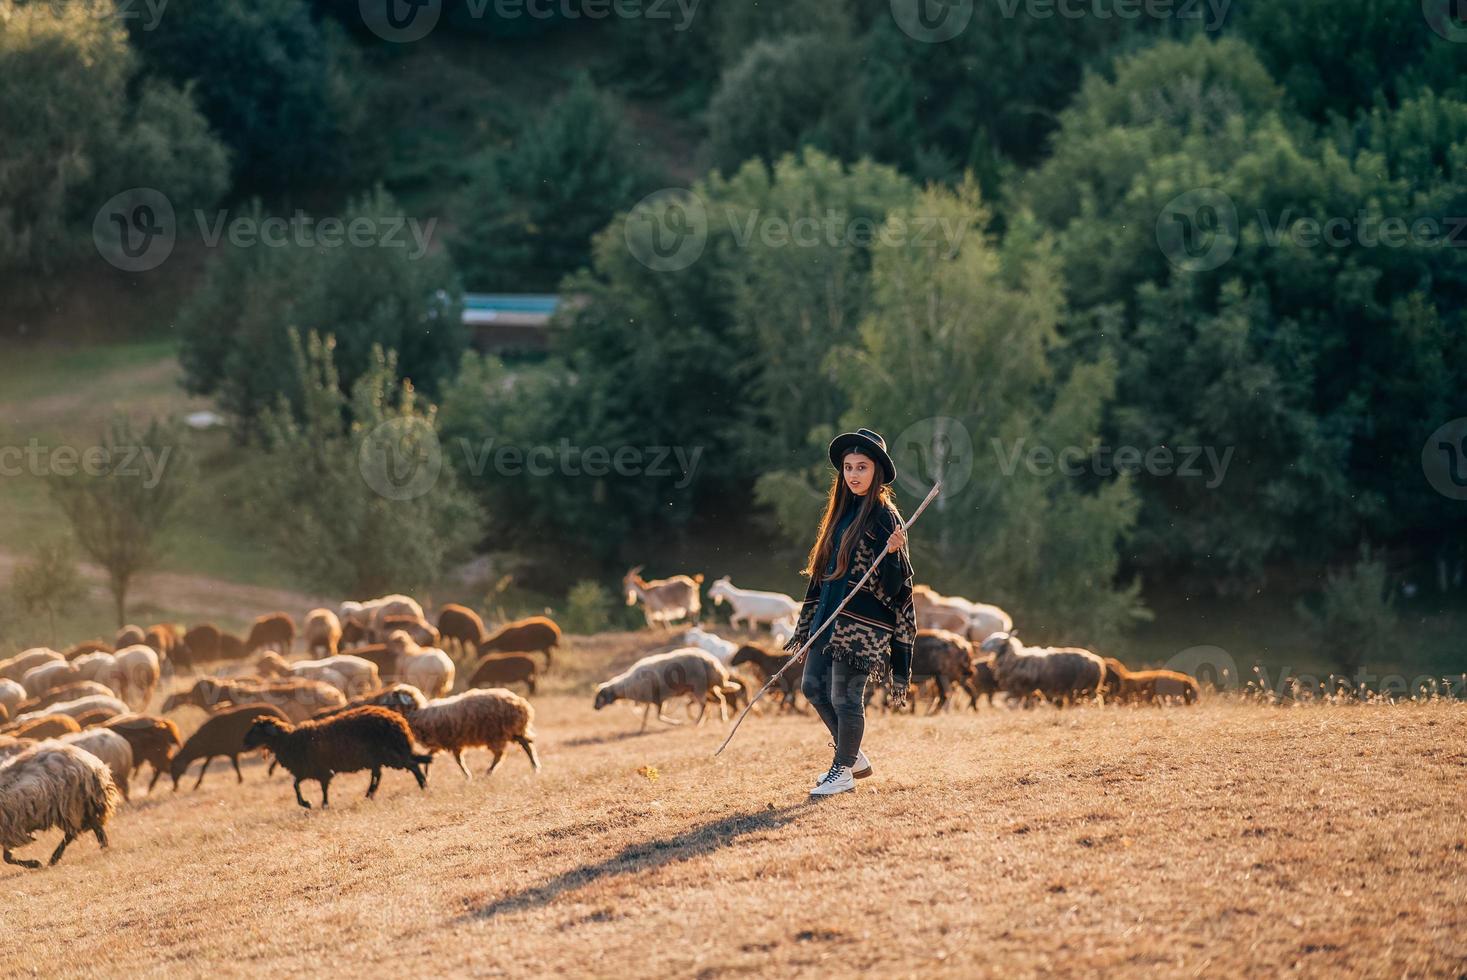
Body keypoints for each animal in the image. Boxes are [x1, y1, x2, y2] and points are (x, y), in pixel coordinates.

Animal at [401, 689, 539, 780]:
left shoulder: (450, 743)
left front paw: (467, 776)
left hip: (497, 734)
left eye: (395, 697)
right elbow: (432, 756)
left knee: (501, 754)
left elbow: (458, 761)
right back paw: (535, 766)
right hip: (511, 731)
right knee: (526, 744)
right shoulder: (444, 744)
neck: (418, 712)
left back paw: (489, 772)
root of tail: (521, 704)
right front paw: (427, 774)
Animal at [589, 645, 739, 730]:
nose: (594, 707)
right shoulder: (651, 700)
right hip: (708, 687)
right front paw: (641, 729)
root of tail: (712, 661)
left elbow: (659, 717)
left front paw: (677, 723)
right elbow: (647, 715)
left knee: (705, 705)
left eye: (600, 696)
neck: (627, 684)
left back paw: (698, 722)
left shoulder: (659, 699)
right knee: (720, 699)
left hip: (700, 687)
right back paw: (723, 718)